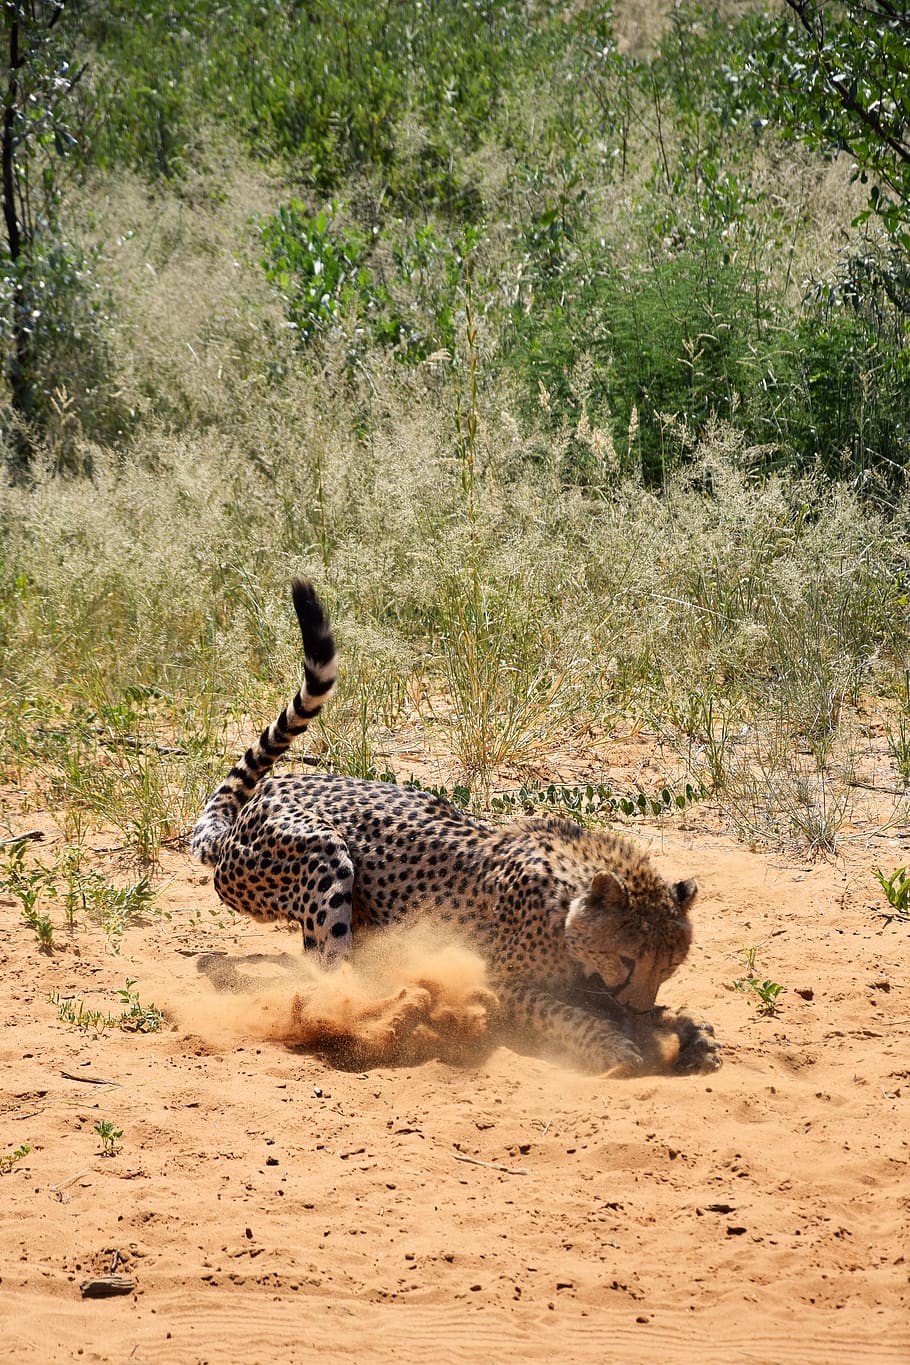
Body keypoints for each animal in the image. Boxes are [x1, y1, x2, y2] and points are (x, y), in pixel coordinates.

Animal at [192, 581, 720, 1081]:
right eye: (627, 958)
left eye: (669, 964)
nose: (637, 1006)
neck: (567, 909)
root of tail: (262, 796)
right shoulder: (501, 982)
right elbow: (563, 1013)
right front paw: (612, 1044)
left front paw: (687, 1031)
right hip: (323, 856)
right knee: (328, 970)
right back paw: (377, 1011)